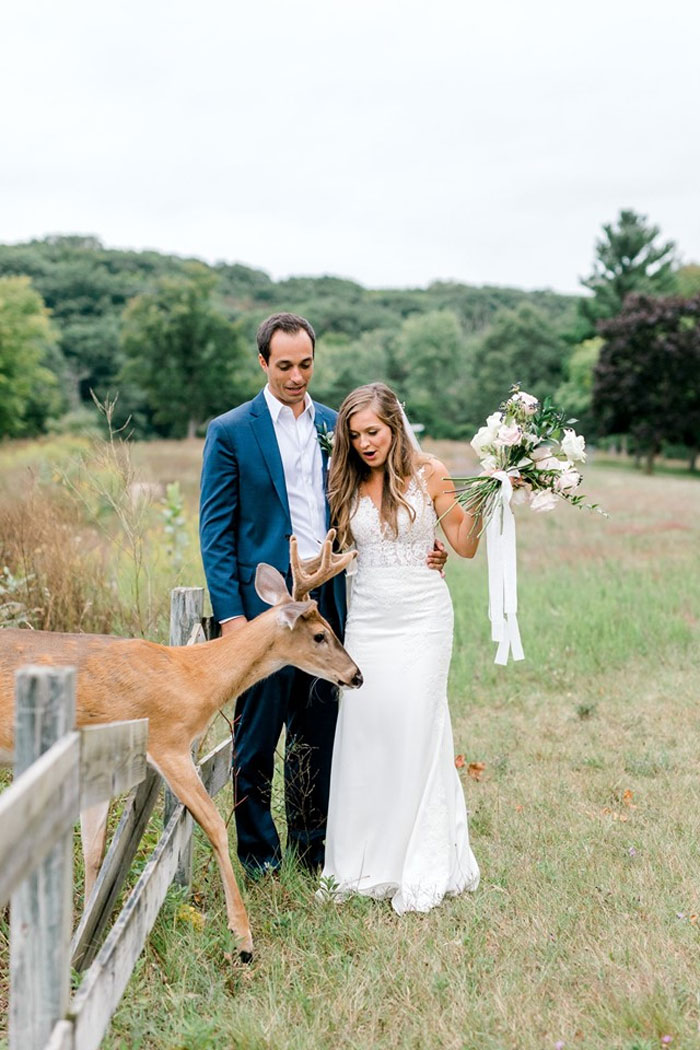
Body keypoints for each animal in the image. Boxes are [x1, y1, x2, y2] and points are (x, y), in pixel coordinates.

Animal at [0, 529, 358, 961]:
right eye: (320, 635)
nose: (356, 675)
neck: (192, 677)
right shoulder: (168, 741)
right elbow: (214, 825)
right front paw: (243, 938)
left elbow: (94, 852)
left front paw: (79, 946)